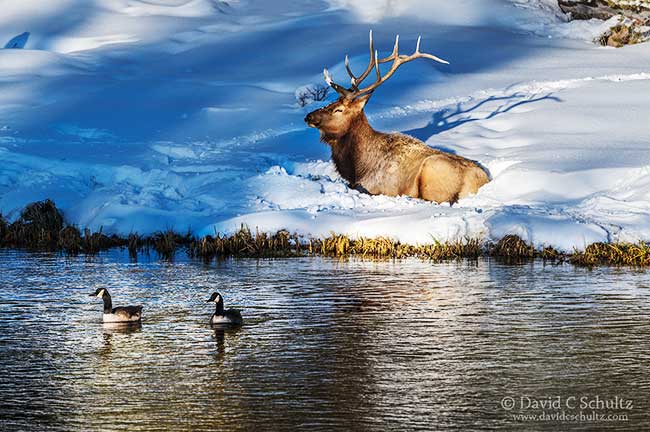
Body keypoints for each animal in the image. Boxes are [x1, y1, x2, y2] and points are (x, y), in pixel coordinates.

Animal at [304, 31, 490, 204]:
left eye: (339, 109)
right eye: (330, 103)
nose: (308, 116)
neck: (356, 167)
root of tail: (481, 180)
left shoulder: (376, 186)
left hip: (432, 173)